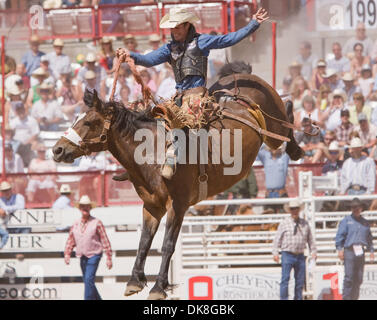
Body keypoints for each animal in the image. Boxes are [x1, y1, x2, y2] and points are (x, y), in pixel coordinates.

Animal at [51, 64, 302, 300]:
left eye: (90, 122)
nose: (57, 149)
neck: (153, 153)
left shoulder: (178, 205)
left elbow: (167, 245)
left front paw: (158, 287)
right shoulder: (151, 206)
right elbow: (144, 242)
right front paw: (134, 281)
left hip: (273, 128)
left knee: (287, 113)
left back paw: (298, 143)